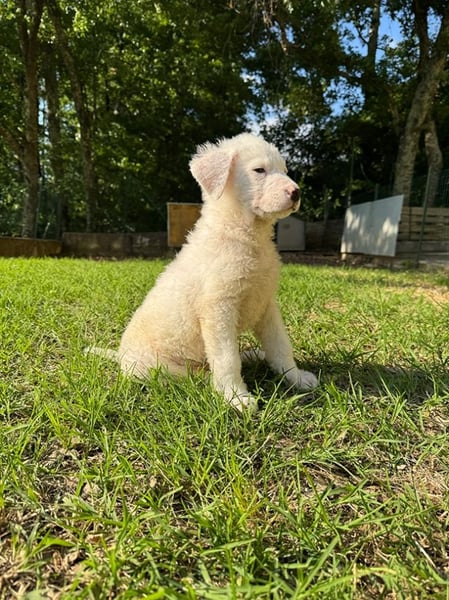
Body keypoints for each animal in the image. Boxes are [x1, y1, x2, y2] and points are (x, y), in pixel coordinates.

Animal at [90, 133, 318, 411]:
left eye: (284, 171)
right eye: (259, 170)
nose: (296, 192)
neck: (245, 235)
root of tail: (120, 356)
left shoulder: (266, 305)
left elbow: (280, 346)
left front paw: (296, 378)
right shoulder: (218, 309)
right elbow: (227, 358)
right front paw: (235, 396)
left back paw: (253, 354)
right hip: (159, 369)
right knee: (194, 374)